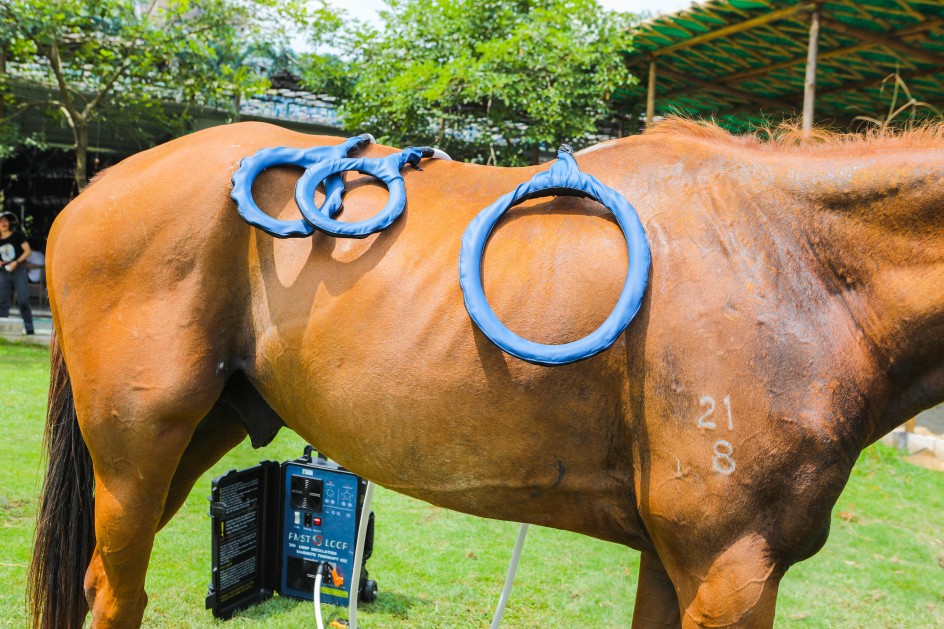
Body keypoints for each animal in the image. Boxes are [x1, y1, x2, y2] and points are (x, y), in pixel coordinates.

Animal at [25, 116, 944, 624]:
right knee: (117, 595)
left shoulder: (676, 559)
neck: (790, 258)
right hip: (135, 448)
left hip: (190, 438)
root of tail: (89, 192)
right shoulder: (732, 568)